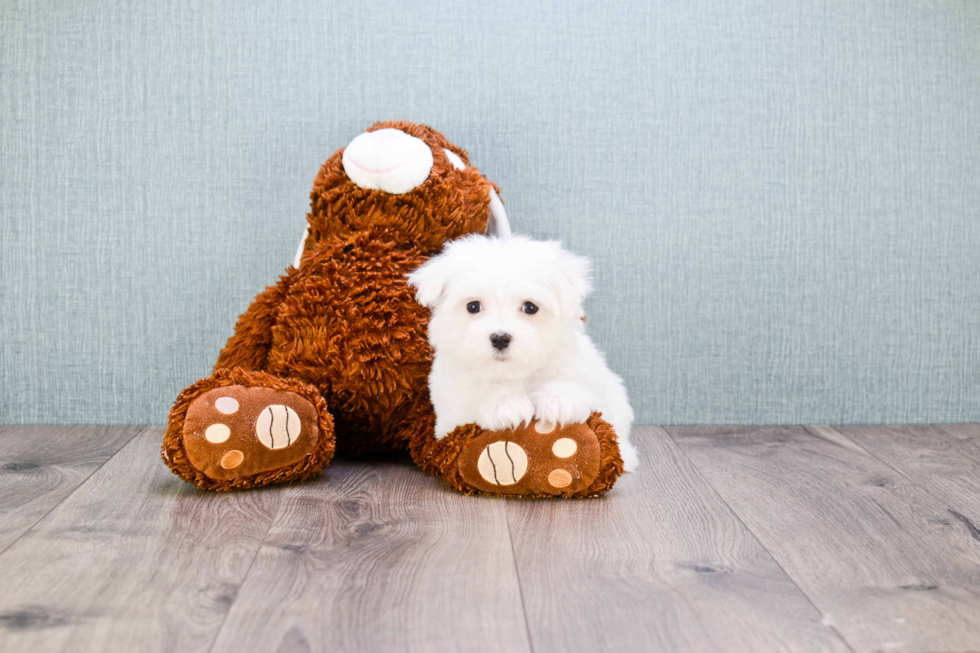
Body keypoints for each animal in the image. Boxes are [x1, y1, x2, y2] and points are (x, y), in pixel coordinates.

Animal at [410, 234, 640, 468]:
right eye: (473, 306)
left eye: (530, 307)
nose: (500, 338)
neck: (516, 373)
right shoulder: (450, 411)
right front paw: (505, 404)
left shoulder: (581, 365)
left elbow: (578, 382)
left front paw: (559, 399)